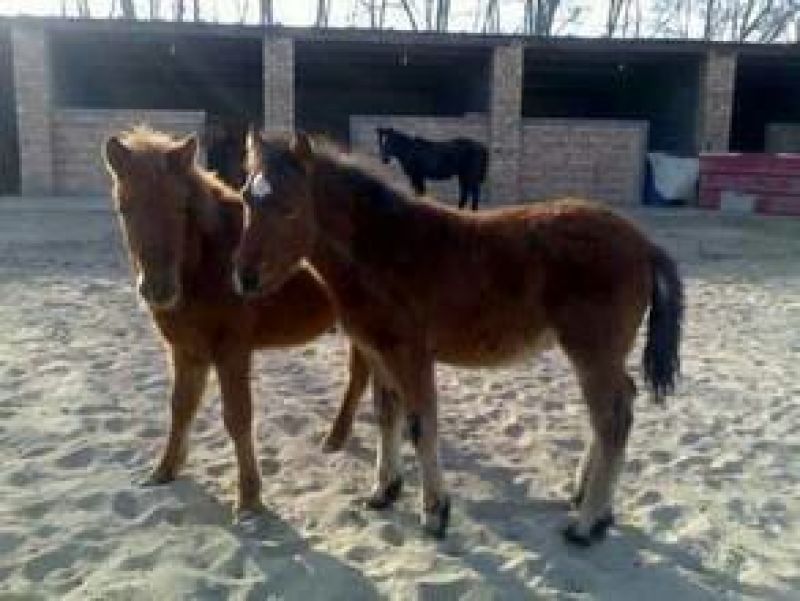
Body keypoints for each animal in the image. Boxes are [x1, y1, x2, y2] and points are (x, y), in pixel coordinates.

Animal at [102, 127, 371, 515]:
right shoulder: (186, 350)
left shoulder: (232, 351)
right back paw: (337, 437)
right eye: (124, 208)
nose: (158, 289)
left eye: (181, 207)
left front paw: (249, 497)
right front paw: (164, 470)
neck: (208, 265)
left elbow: (238, 417)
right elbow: (181, 408)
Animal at [232, 131, 684, 545]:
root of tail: (643, 243)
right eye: (245, 197)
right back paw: (589, 502)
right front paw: (384, 491)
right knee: (615, 408)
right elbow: (387, 416)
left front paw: (435, 513)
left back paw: (587, 523)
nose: (244, 277)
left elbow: (420, 424)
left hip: (592, 350)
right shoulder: (378, 352)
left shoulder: (409, 353)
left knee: (612, 418)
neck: (383, 249)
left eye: (290, 207)